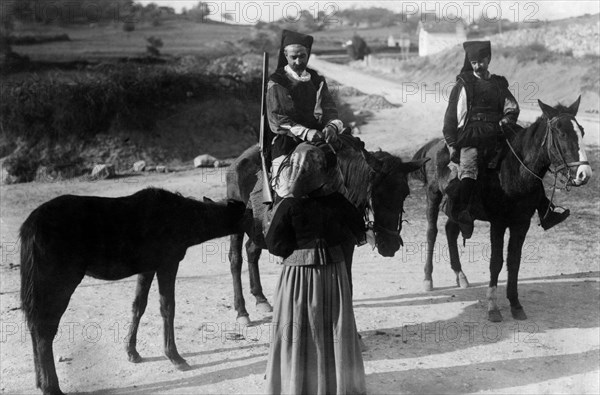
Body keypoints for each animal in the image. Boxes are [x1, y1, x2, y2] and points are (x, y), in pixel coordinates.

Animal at [20, 189, 246, 395]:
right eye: (246, 212)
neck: (183, 216)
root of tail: (31, 226)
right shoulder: (168, 264)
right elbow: (168, 308)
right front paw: (174, 356)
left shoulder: (147, 268)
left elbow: (139, 305)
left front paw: (132, 352)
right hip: (59, 282)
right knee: (44, 328)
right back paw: (51, 387)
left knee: (34, 324)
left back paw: (39, 381)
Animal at [227, 136, 428, 324]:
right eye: (377, 193)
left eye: (405, 193)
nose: (390, 245)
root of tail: (237, 163)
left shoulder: (346, 245)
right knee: (235, 259)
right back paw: (242, 311)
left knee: (251, 250)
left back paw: (260, 299)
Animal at [412, 98, 592, 322]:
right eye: (561, 133)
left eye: (582, 131)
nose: (584, 174)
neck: (515, 170)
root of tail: (433, 145)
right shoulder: (497, 223)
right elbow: (496, 262)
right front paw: (493, 306)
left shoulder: (521, 223)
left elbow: (514, 261)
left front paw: (515, 304)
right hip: (433, 195)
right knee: (432, 232)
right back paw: (428, 278)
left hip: (458, 210)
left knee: (451, 230)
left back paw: (460, 275)